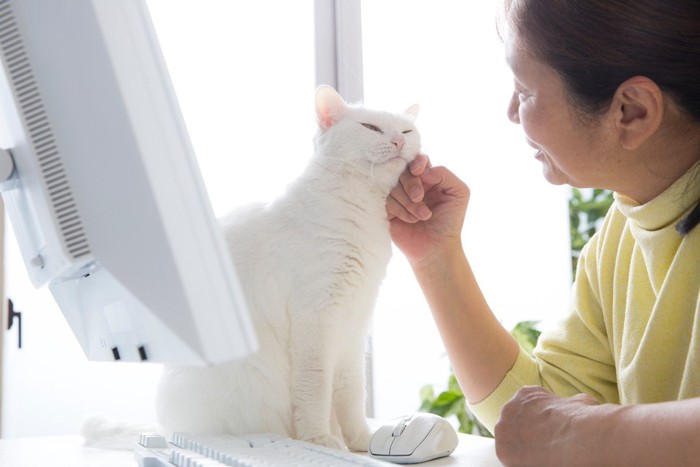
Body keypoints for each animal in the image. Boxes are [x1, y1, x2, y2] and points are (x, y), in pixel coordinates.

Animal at [154, 85, 422, 454]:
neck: (364, 212)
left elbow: (352, 393)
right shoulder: (316, 318)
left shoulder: (355, 324)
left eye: (407, 131)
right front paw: (320, 440)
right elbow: (316, 388)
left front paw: (362, 442)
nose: (397, 141)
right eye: (370, 127)